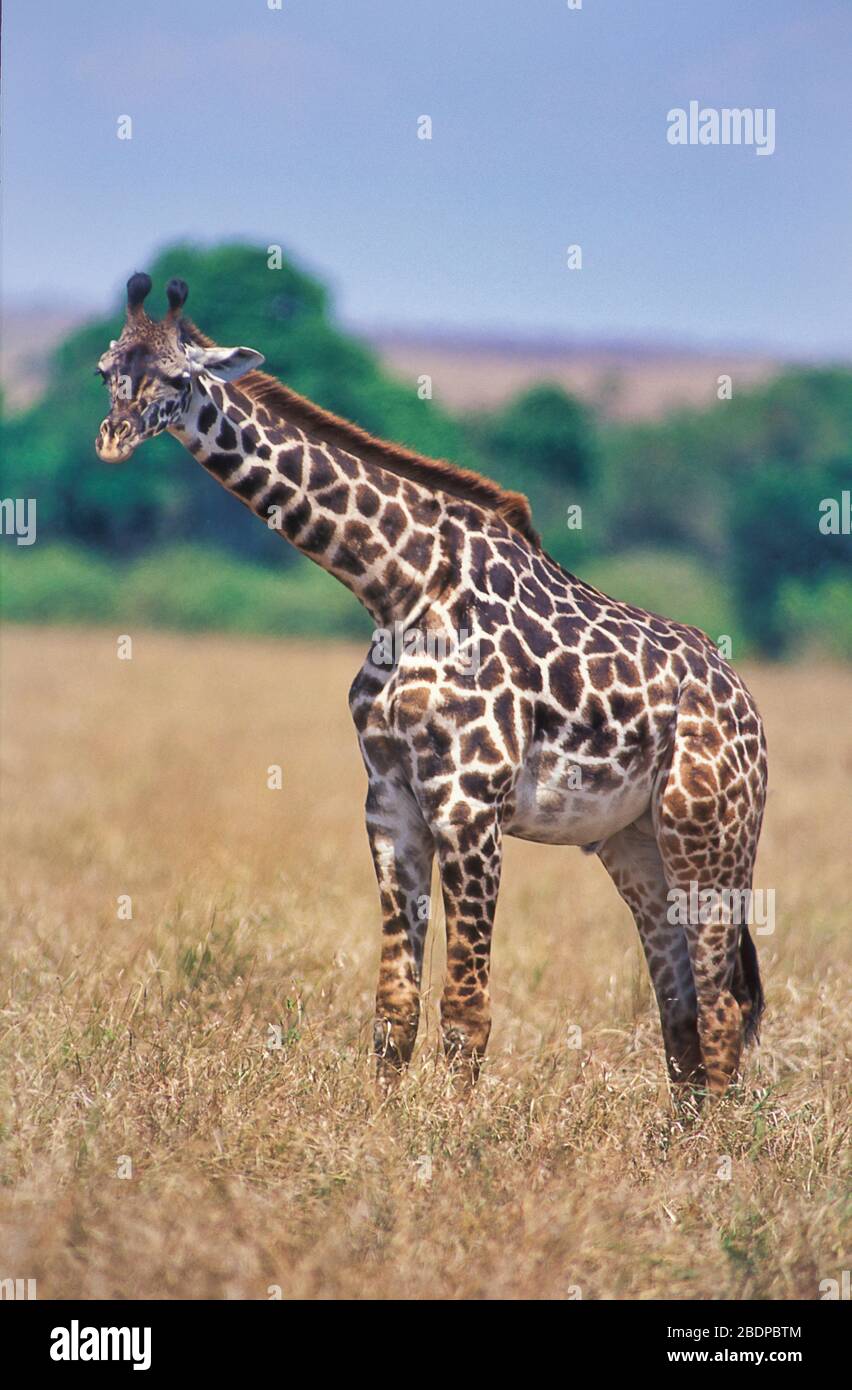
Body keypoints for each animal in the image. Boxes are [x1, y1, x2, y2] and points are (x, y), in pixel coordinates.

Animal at [96, 273, 767, 1100]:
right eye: (106, 369)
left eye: (175, 378)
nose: (112, 440)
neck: (399, 588)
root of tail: (744, 704)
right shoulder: (390, 802)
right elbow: (394, 1009)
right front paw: (385, 1125)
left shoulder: (469, 804)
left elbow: (466, 1012)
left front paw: (453, 1131)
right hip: (635, 846)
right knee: (680, 1010)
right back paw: (678, 1137)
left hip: (711, 839)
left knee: (722, 1006)